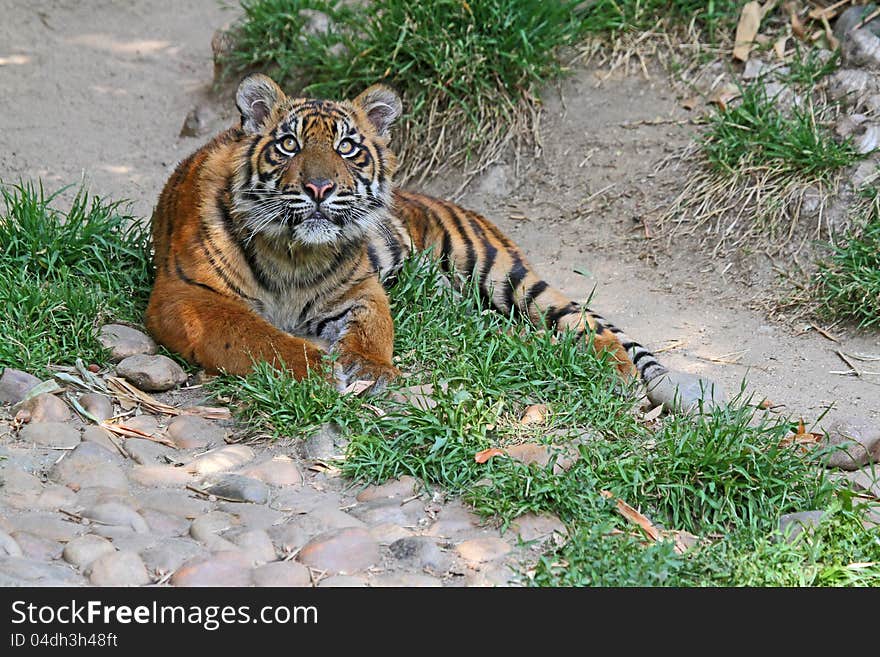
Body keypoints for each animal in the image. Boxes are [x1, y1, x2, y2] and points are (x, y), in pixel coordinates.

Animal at [143, 72, 720, 410]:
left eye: (348, 148)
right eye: (288, 145)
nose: (320, 187)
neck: (294, 252)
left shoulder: (358, 290)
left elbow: (373, 330)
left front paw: (369, 370)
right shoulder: (184, 296)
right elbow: (255, 337)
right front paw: (318, 369)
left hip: (503, 273)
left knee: (580, 320)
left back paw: (611, 369)